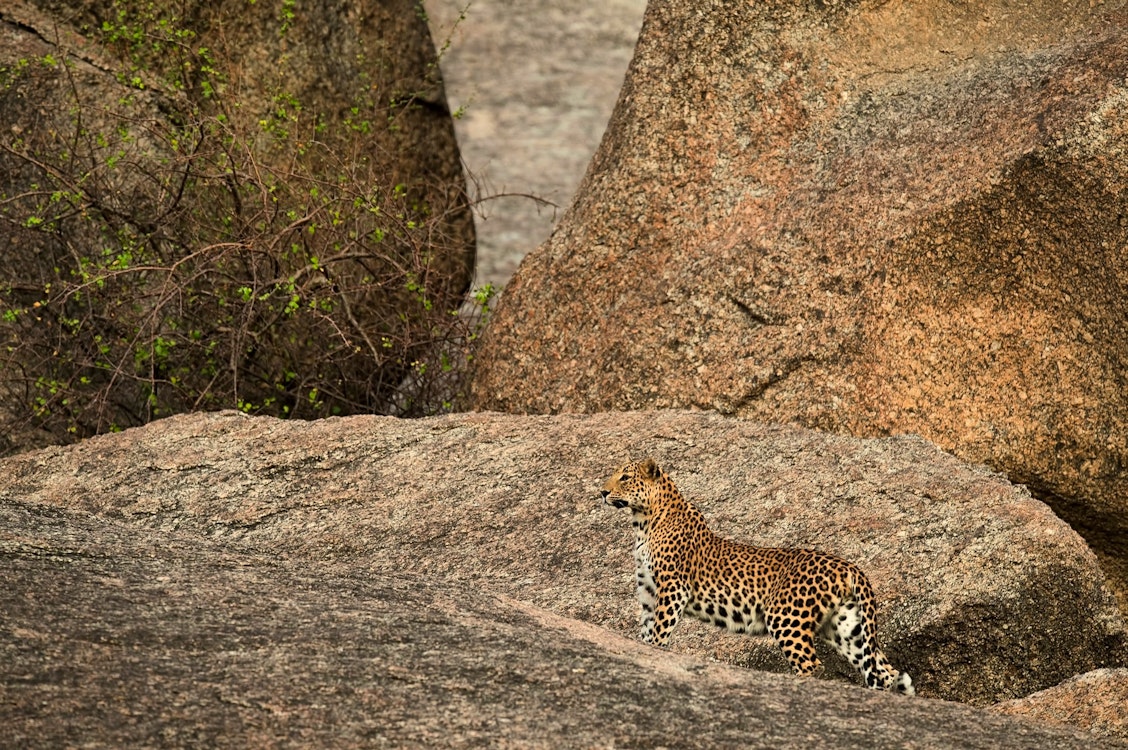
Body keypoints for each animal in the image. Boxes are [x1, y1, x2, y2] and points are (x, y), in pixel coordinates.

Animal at [601, 457, 914, 695]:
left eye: (625, 477)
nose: (602, 492)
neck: (643, 522)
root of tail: (848, 566)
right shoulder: (648, 593)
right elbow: (646, 630)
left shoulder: (673, 589)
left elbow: (659, 632)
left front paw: (656, 652)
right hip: (847, 628)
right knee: (885, 670)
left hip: (786, 619)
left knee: (812, 665)